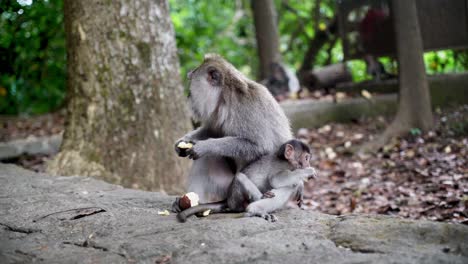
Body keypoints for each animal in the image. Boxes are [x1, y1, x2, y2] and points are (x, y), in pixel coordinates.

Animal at [174, 54, 292, 212]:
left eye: (191, 79)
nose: (188, 95)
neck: (226, 97)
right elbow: (212, 130)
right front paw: (182, 142)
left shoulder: (247, 109)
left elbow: (259, 146)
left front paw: (204, 146)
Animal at [177, 139, 316, 222]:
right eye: (306, 158)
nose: (308, 164)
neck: (286, 160)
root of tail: (228, 199)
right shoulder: (283, 166)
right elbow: (276, 180)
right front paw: (307, 173)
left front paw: (301, 185)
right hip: (236, 199)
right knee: (240, 177)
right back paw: (256, 208)